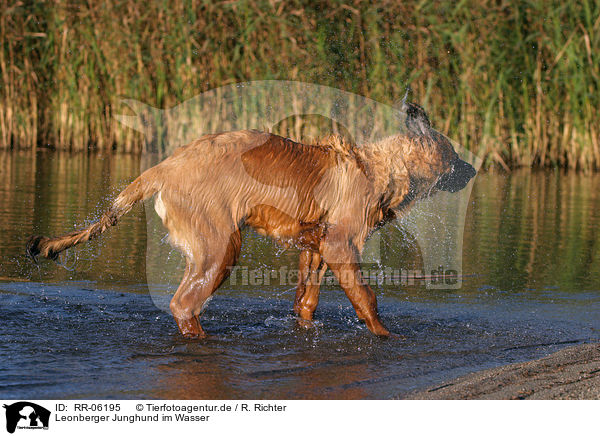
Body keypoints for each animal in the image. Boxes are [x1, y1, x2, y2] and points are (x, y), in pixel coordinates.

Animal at [25, 104, 476, 338]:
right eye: (453, 154)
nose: (474, 169)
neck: (380, 168)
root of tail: (163, 168)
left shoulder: (315, 247)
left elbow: (306, 301)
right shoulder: (341, 245)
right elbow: (366, 299)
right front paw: (386, 336)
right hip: (222, 246)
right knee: (183, 304)